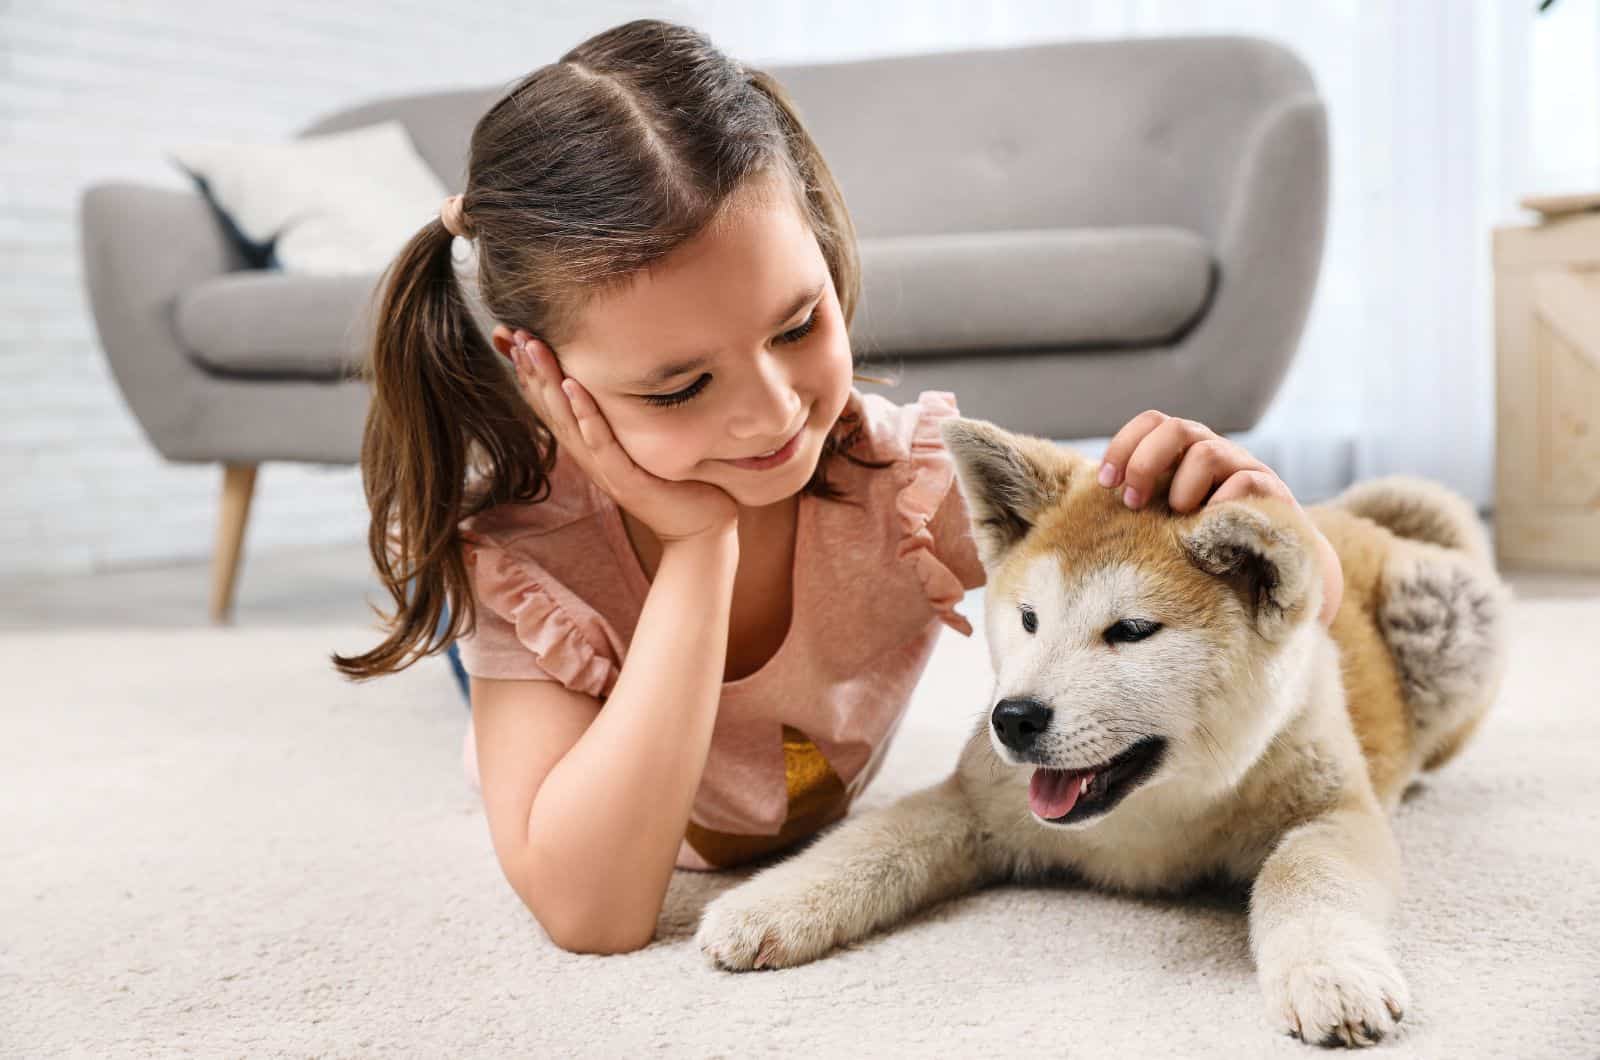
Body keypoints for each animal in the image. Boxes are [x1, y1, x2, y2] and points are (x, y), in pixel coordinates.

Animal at [700, 419, 1510, 1050]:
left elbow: (1305, 877)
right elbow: (869, 845)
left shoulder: (1329, 812)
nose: (1013, 717)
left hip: (1450, 610)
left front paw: (1331, 976)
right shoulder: (977, 802)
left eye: (1131, 631)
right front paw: (763, 907)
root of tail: (1350, 518)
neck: (1153, 814)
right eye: (1029, 618)